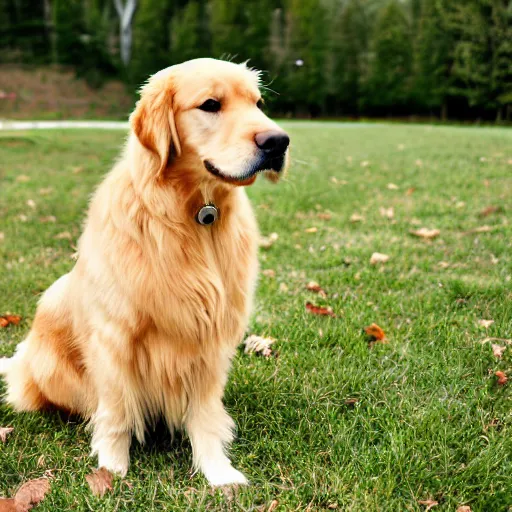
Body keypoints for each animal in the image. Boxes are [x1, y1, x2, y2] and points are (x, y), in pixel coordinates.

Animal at [0, 58, 288, 486]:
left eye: (258, 103)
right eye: (211, 104)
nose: (279, 142)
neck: (194, 215)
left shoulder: (209, 337)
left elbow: (205, 416)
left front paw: (217, 472)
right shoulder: (115, 339)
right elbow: (117, 413)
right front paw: (111, 469)